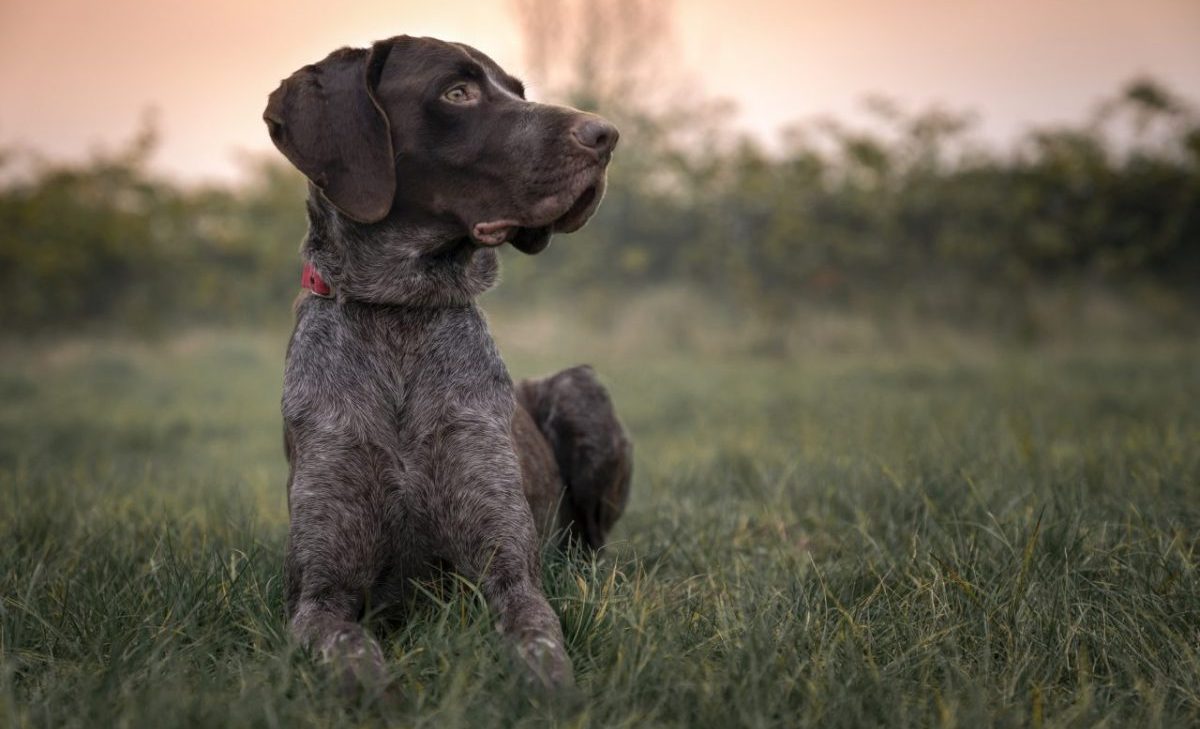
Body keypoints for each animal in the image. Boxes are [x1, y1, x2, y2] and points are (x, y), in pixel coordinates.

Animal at [265, 35, 638, 695]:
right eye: (457, 92)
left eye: (517, 90)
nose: (606, 134)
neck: (401, 315)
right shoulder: (320, 596)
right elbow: (354, 659)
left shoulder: (511, 576)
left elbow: (542, 647)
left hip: (579, 388)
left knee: (592, 547)